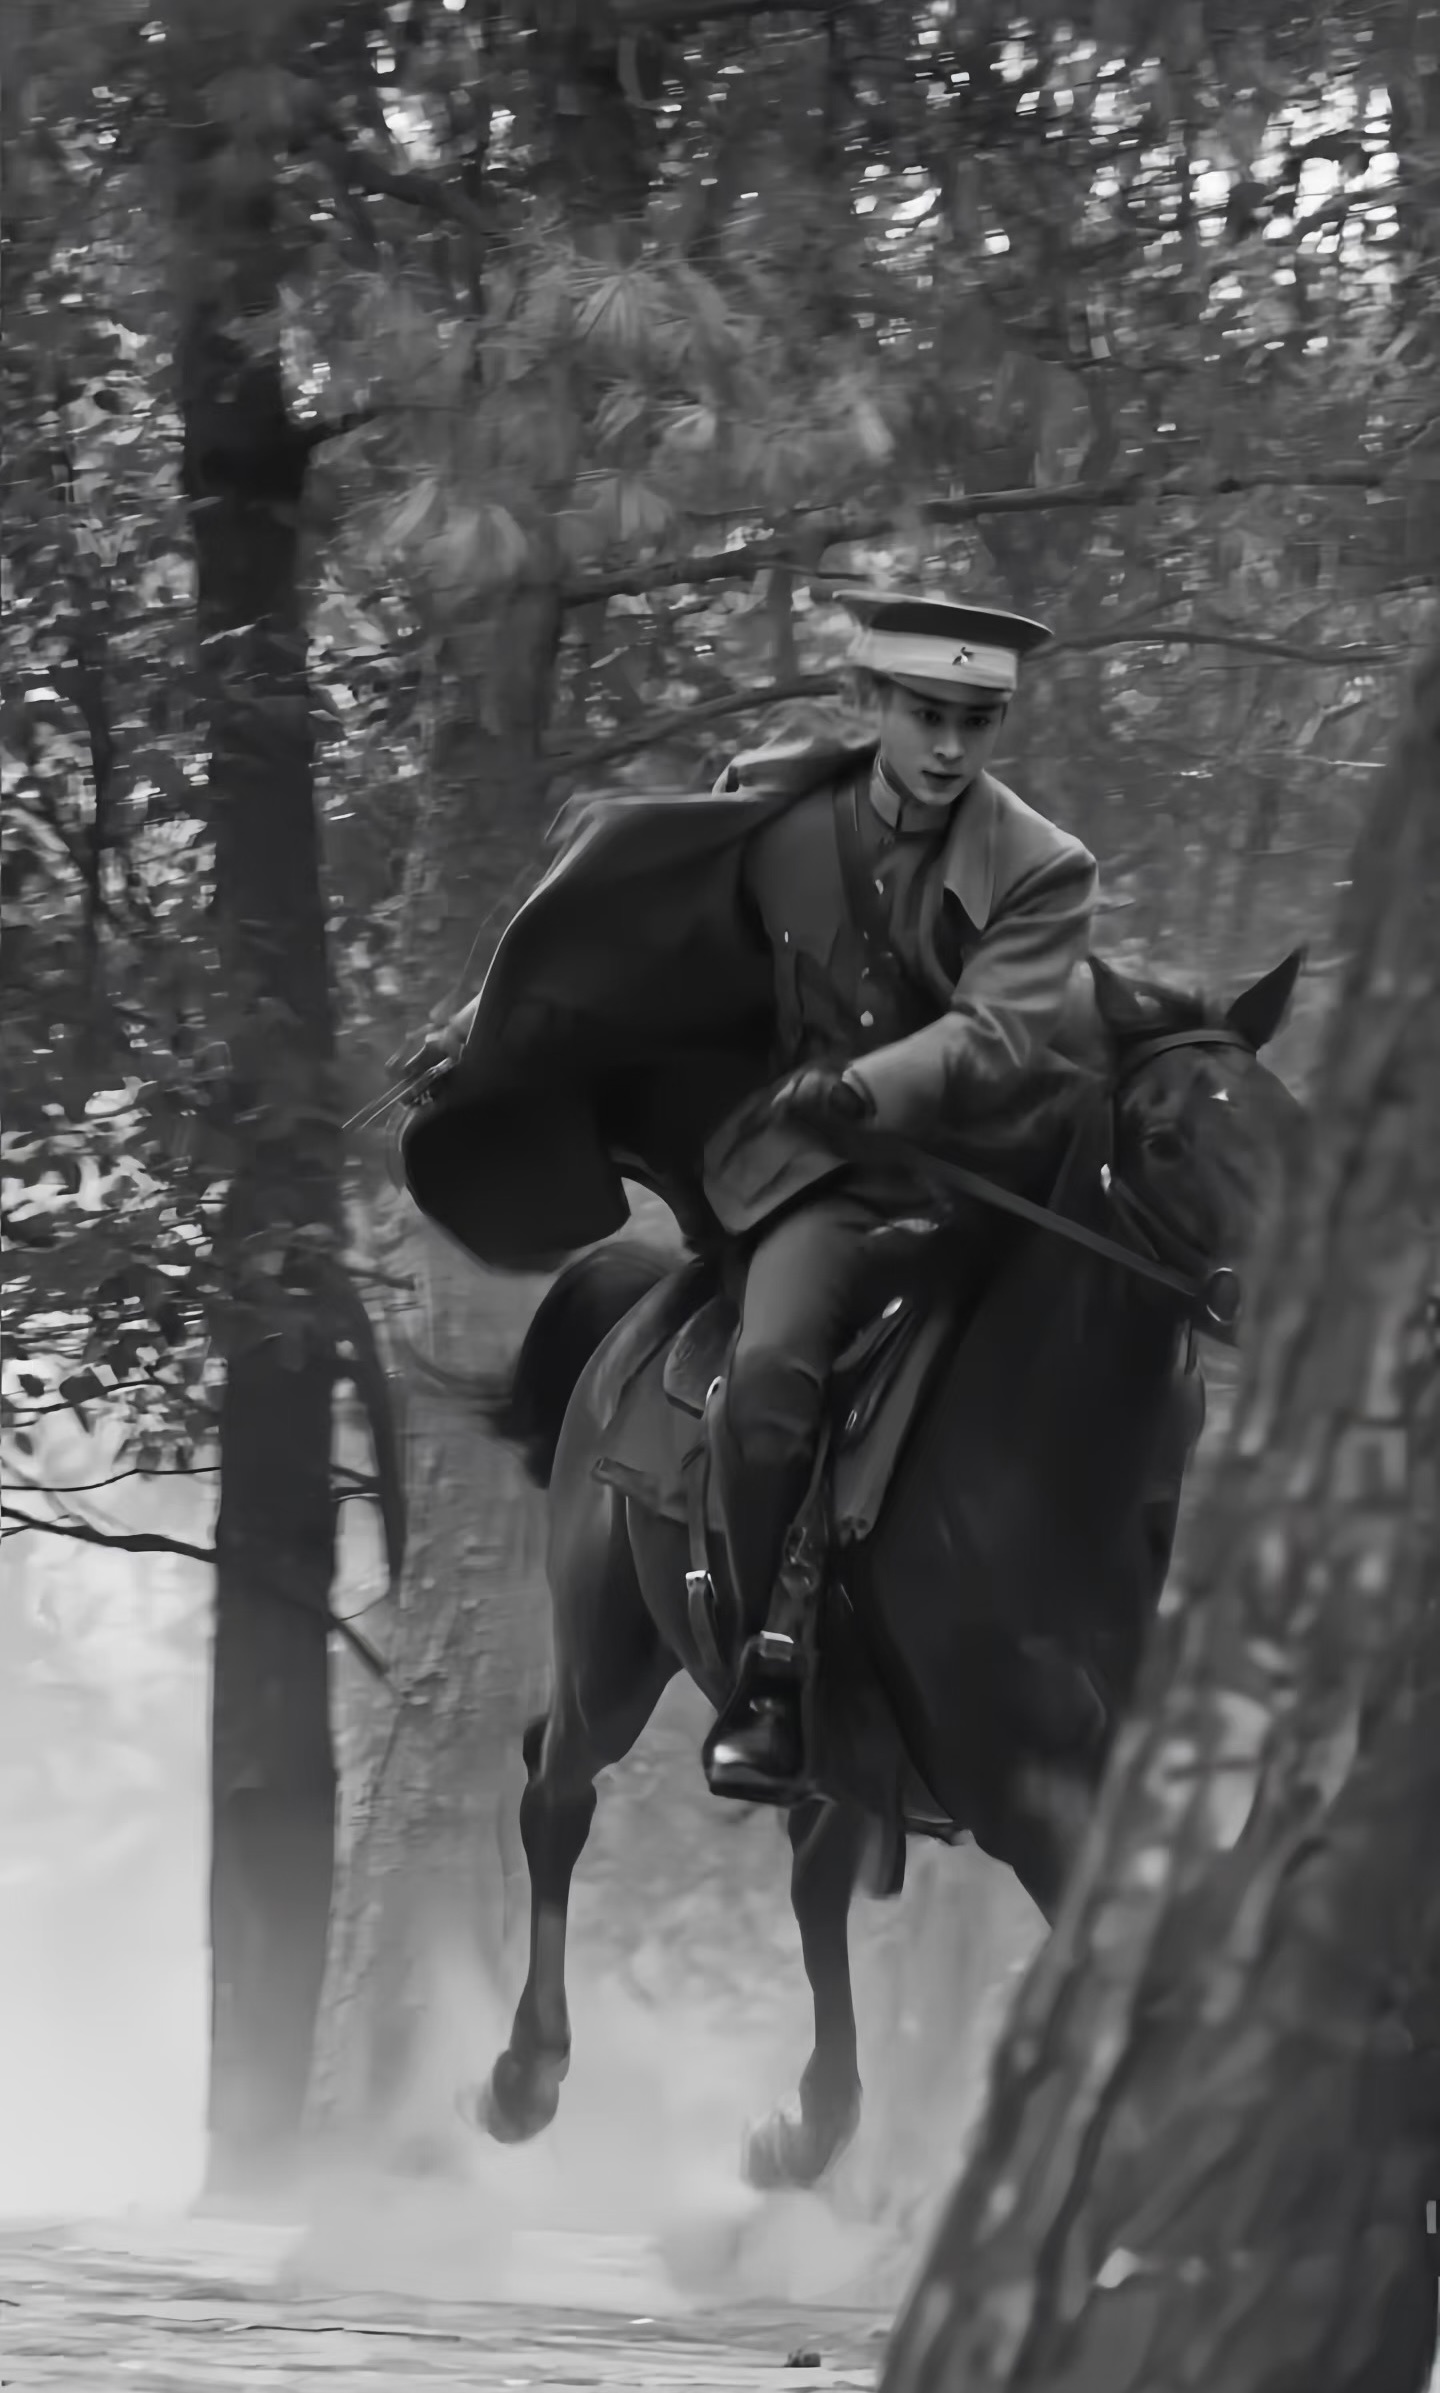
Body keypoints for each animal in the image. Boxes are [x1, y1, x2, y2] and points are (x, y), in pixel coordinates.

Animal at [454, 952, 1304, 2190]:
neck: (1049, 1476)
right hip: (612, 1653)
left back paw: (807, 2127)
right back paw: (525, 2074)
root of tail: (650, 1307)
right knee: (556, 1790)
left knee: (810, 1872)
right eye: (1162, 1138)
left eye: (1290, 1124)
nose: (1288, 1289)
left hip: (836, 1730)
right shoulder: (1026, 1789)